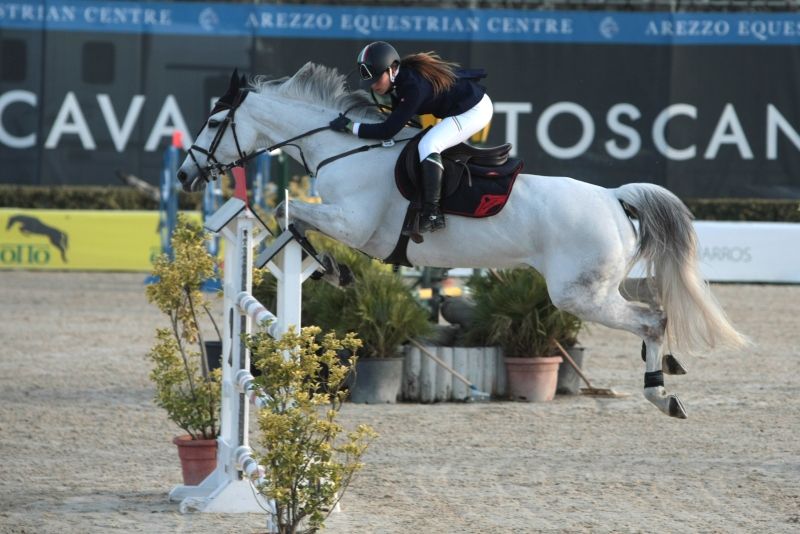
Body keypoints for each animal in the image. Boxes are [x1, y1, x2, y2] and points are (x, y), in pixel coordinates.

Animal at [177, 63, 747, 418]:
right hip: (600, 287)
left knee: (652, 318)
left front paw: (333, 269)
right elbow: (290, 214)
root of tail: (615, 198)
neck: (343, 149)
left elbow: (287, 211)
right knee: (655, 310)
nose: (185, 174)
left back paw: (661, 395)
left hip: (580, 294)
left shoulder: (355, 224)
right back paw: (667, 372)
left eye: (213, 120)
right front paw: (333, 269)